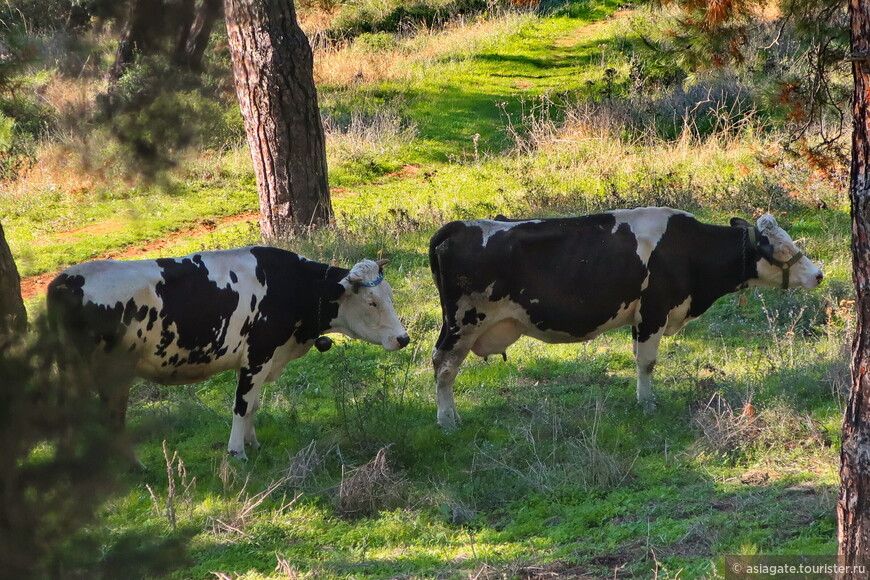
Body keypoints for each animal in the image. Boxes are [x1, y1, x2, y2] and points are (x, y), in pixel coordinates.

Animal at [49, 247, 410, 460]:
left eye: (390, 295)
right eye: (371, 302)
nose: (402, 338)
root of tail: (66, 280)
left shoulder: (257, 361)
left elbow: (253, 406)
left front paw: (252, 443)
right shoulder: (259, 356)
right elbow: (243, 406)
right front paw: (237, 452)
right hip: (110, 372)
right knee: (111, 418)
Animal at [432, 206, 828, 428]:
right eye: (780, 249)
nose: (818, 274)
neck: (689, 250)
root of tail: (458, 226)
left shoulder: (642, 317)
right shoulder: (653, 312)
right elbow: (646, 363)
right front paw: (648, 406)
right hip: (463, 321)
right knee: (444, 367)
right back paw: (448, 421)